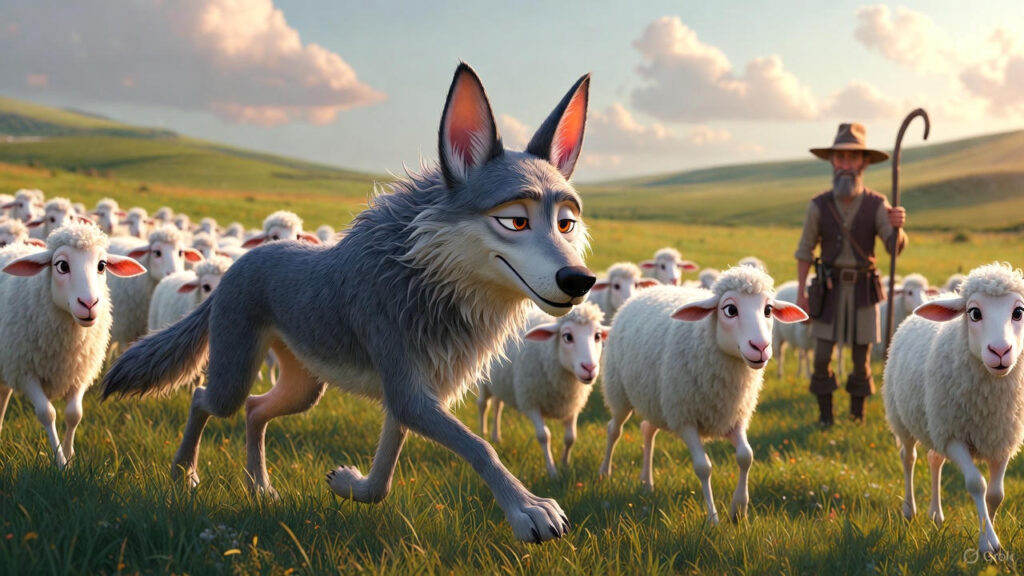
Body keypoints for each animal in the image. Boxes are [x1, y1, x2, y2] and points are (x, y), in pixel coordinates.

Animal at [102, 62, 594, 543]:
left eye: (566, 223)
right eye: (515, 221)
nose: (581, 280)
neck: (432, 278)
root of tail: (238, 265)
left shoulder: (411, 397)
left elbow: (383, 480)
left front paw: (346, 483)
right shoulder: (410, 392)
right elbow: (481, 446)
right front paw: (529, 510)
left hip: (304, 386)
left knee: (255, 409)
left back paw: (260, 488)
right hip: (234, 371)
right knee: (205, 398)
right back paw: (184, 473)